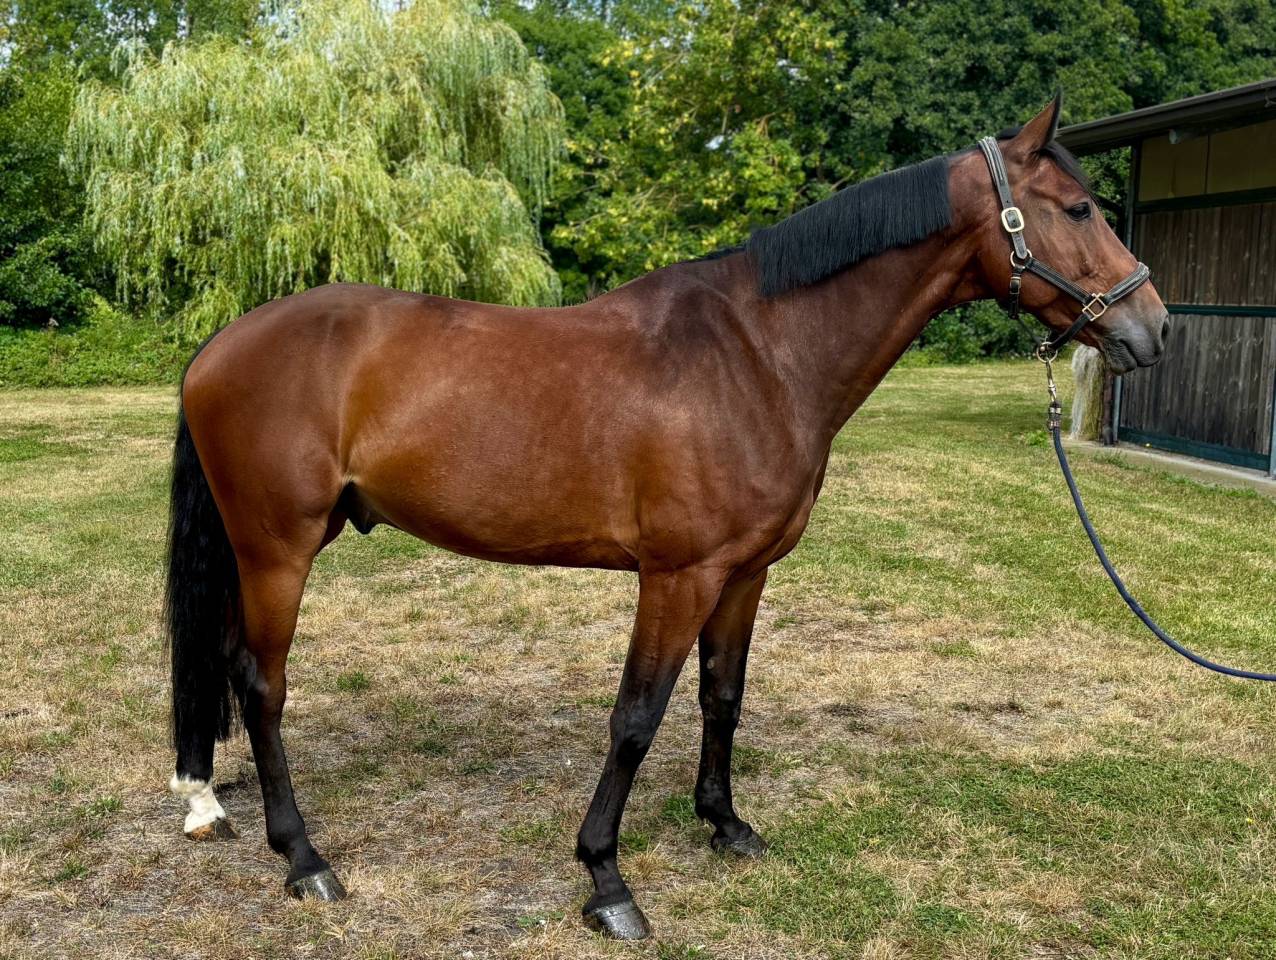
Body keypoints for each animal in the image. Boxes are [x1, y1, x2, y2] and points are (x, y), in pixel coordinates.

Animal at [165, 95, 1167, 940]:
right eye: (1078, 208)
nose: (1151, 328)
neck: (759, 356)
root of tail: (217, 348)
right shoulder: (676, 577)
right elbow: (636, 717)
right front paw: (606, 881)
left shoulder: (745, 572)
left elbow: (722, 697)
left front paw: (725, 824)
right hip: (278, 550)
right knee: (261, 683)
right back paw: (304, 859)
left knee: (233, 670)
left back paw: (224, 805)